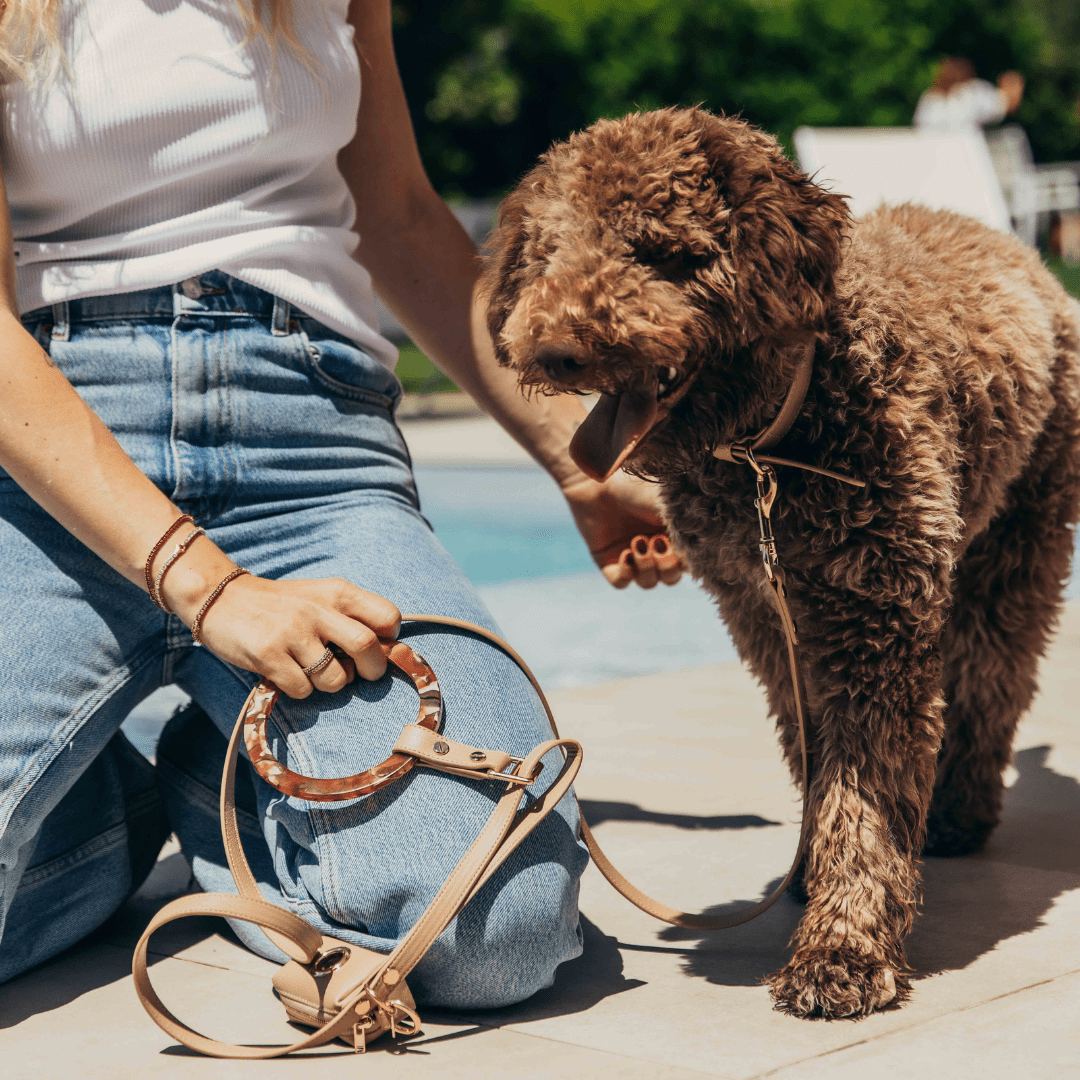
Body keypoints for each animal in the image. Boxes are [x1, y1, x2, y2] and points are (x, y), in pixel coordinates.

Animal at [481, 107, 1080, 1019]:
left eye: (660, 251)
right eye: (549, 253)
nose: (553, 352)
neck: (771, 442)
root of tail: (1010, 246)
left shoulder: (876, 619)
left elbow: (864, 793)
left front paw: (844, 947)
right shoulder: (767, 618)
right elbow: (817, 757)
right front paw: (811, 872)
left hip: (1017, 544)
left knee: (993, 680)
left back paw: (960, 810)